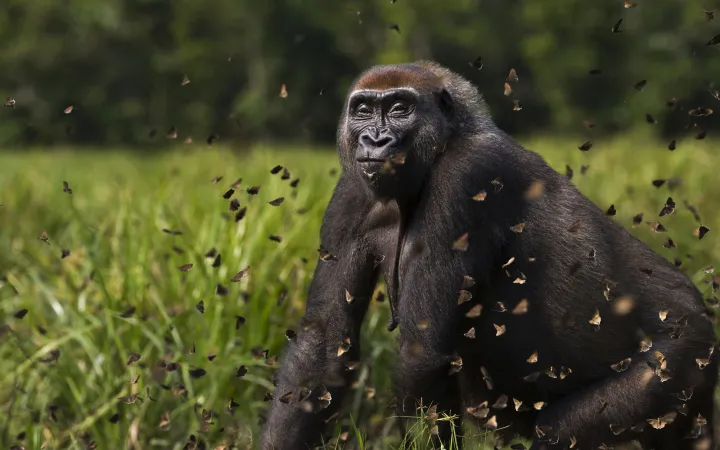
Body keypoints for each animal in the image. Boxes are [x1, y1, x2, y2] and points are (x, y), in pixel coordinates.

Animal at [259, 60, 718, 450]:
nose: (374, 139)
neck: (447, 139)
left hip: (682, 357)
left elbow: (422, 354)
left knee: (561, 431)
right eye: (363, 110)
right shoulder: (350, 193)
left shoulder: (465, 176)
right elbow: (324, 344)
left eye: (400, 108)